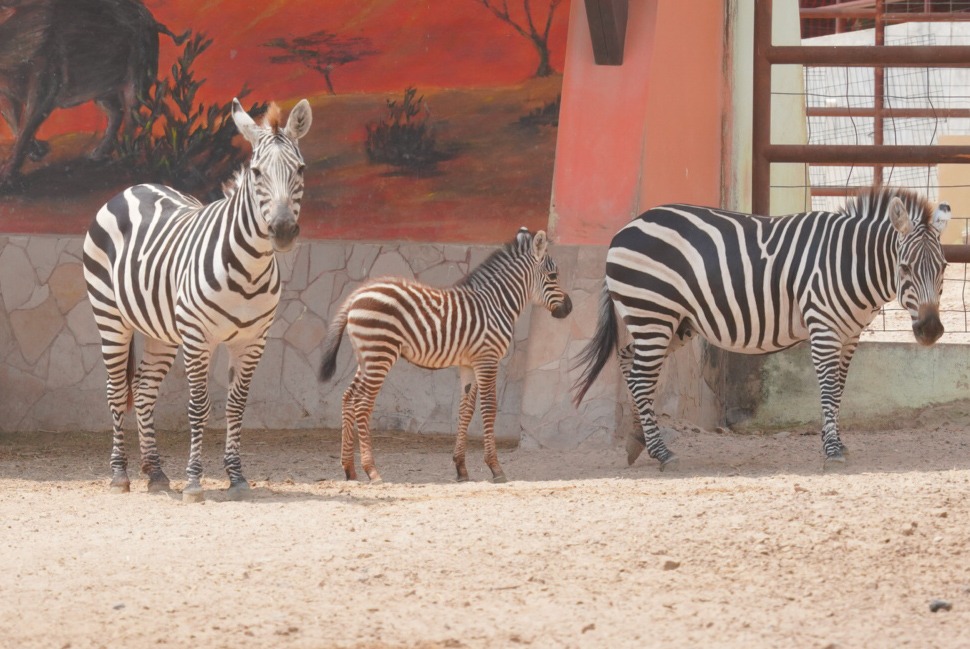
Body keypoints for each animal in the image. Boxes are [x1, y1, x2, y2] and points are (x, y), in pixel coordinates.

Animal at [83, 97, 312, 502]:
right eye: (256, 172)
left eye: (299, 169)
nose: (283, 230)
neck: (249, 269)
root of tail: (132, 188)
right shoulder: (197, 337)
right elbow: (198, 407)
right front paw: (193, 481)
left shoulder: (253, 341)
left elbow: (236, 406)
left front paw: (236, 476)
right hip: (110, 316)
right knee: (116, 391)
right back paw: (119, 474)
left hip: (159, 331)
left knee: (144, 390)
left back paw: (155, 472)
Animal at [318, 230, 576, 484]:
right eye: (553, 275)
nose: (570, 308)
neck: (497, 304)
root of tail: (356, 295)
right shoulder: (488, 359)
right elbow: (489, 407)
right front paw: (495, 467)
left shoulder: (468, 363)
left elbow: (465, 410)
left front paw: (461, 468)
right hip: (380, 352)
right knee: (362, 402)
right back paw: (372, 471)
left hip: (366, 356)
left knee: (348, 397)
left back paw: (349, 469)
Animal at [576, 189, 944, 470]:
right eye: (905, 267)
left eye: (943, 267)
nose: (930, 330)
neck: (849, 263)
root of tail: (625, 228)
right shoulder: (824, 328)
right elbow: (828, 389)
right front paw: (832, 450)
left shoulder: (849, 335)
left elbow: (839, 390)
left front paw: (837, 442)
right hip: (652, 313)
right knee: (642, 378)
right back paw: (662, 453)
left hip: (671, 322)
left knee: (631, 363)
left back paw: (638, 441)